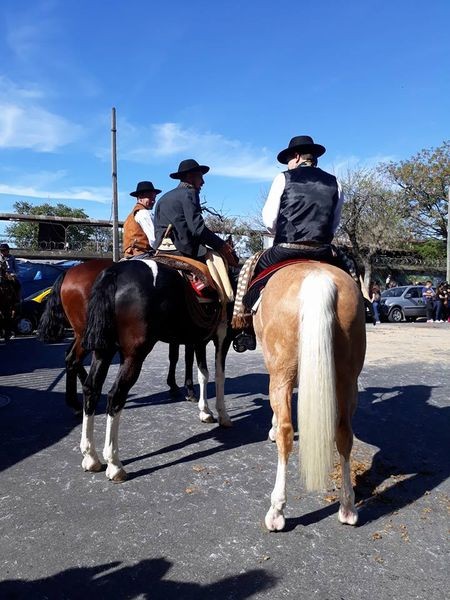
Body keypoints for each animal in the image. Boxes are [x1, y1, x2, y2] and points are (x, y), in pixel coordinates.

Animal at [72, 260, 234, 480]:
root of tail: (115, 272)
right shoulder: (222, 336)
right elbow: (219, 375)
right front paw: (222, 414)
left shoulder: (200, 339)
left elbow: (203, 374)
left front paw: (205, 411)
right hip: (134, 355)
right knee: (116, 395)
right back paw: (114, 464)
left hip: (103, 351)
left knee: (91, 389)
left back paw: (91, 457)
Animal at [253, 262, 366, 528]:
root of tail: (317, 277)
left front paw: (272, 428)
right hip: (347, 379)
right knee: (344, 433)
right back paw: (348, 507)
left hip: (281, 373)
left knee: (285, 432)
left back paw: (277, 510)